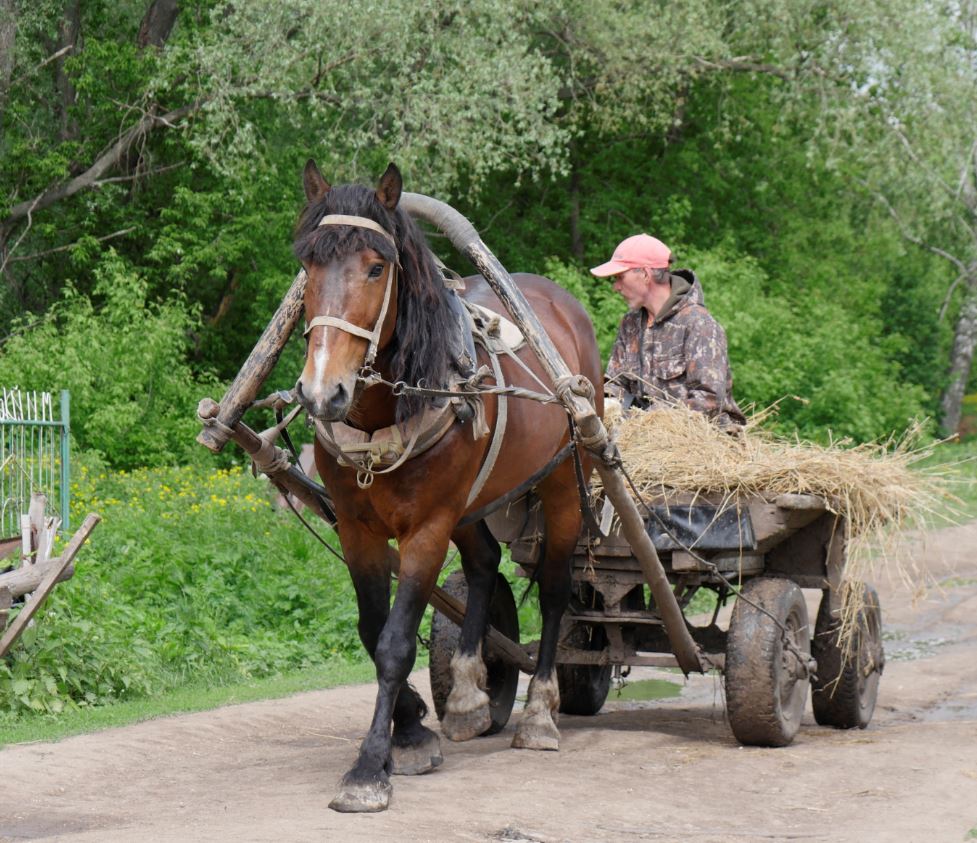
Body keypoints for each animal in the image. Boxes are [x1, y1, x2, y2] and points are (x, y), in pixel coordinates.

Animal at [294, 158, 604, 812]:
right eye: (307, 263)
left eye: (376, 267)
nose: (322, 391)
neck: (383, 415)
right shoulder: (358, 528)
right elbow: (372, 629)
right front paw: (412, 730)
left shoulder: (427, 528)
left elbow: (394, 643)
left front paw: (370, 767)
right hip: (474, 500)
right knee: (484, 565)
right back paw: (465, 696)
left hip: (566, 479)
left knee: (558, 589)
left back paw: (540, 714)